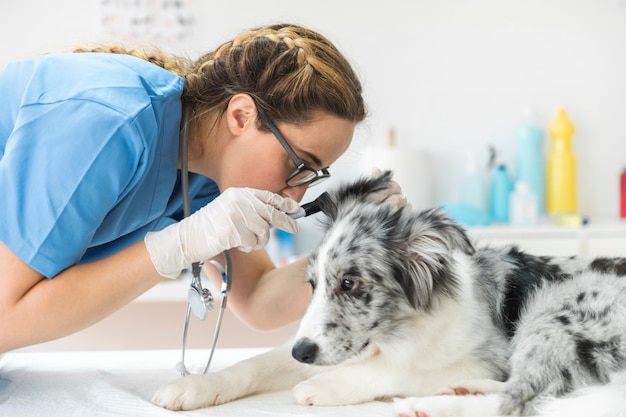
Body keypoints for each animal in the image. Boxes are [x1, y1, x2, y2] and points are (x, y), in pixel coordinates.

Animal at [151, 171, 624, 414]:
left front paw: (325, 386)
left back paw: (432, 406)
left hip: (552, 317)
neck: (399, 331)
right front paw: (194, 387)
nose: (303, 354)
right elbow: (254, 363)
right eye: (312, 284)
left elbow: (398, 370)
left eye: (350, 283)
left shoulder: (485, 356)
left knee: (524, 397)